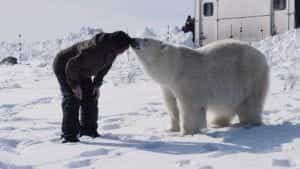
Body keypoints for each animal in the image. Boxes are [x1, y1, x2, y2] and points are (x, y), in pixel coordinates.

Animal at [131, 38, 270, 135]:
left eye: (145, 39)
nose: (133, 39)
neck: (174, 66)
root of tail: (263, 57)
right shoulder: (168, 86)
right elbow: (171, 105)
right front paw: (172, 129)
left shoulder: (186, 81)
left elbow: (190, 106)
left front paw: (187, 131)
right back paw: (217, 122)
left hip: (248, 76)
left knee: (250, 102)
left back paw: (247, 123)